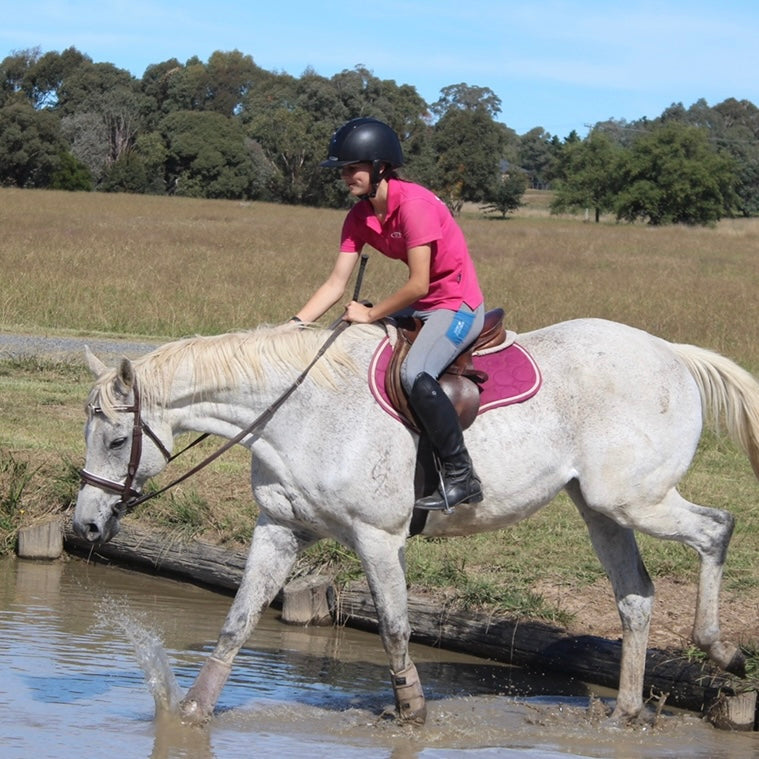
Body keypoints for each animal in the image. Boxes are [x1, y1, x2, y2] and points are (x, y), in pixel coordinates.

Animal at [74, 318, 759, 728]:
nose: (84, 527)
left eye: (116, 440)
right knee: (636, 597)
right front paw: (192, 710)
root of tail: (671, 355)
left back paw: (722, 650)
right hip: (600, 509)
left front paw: (411, 712)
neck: (297, 412)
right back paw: (625, 712)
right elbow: (237, 622)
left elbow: (396, 628)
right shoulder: (279, 529)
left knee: (716, 530)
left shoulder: (377, 538)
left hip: (633, 500)